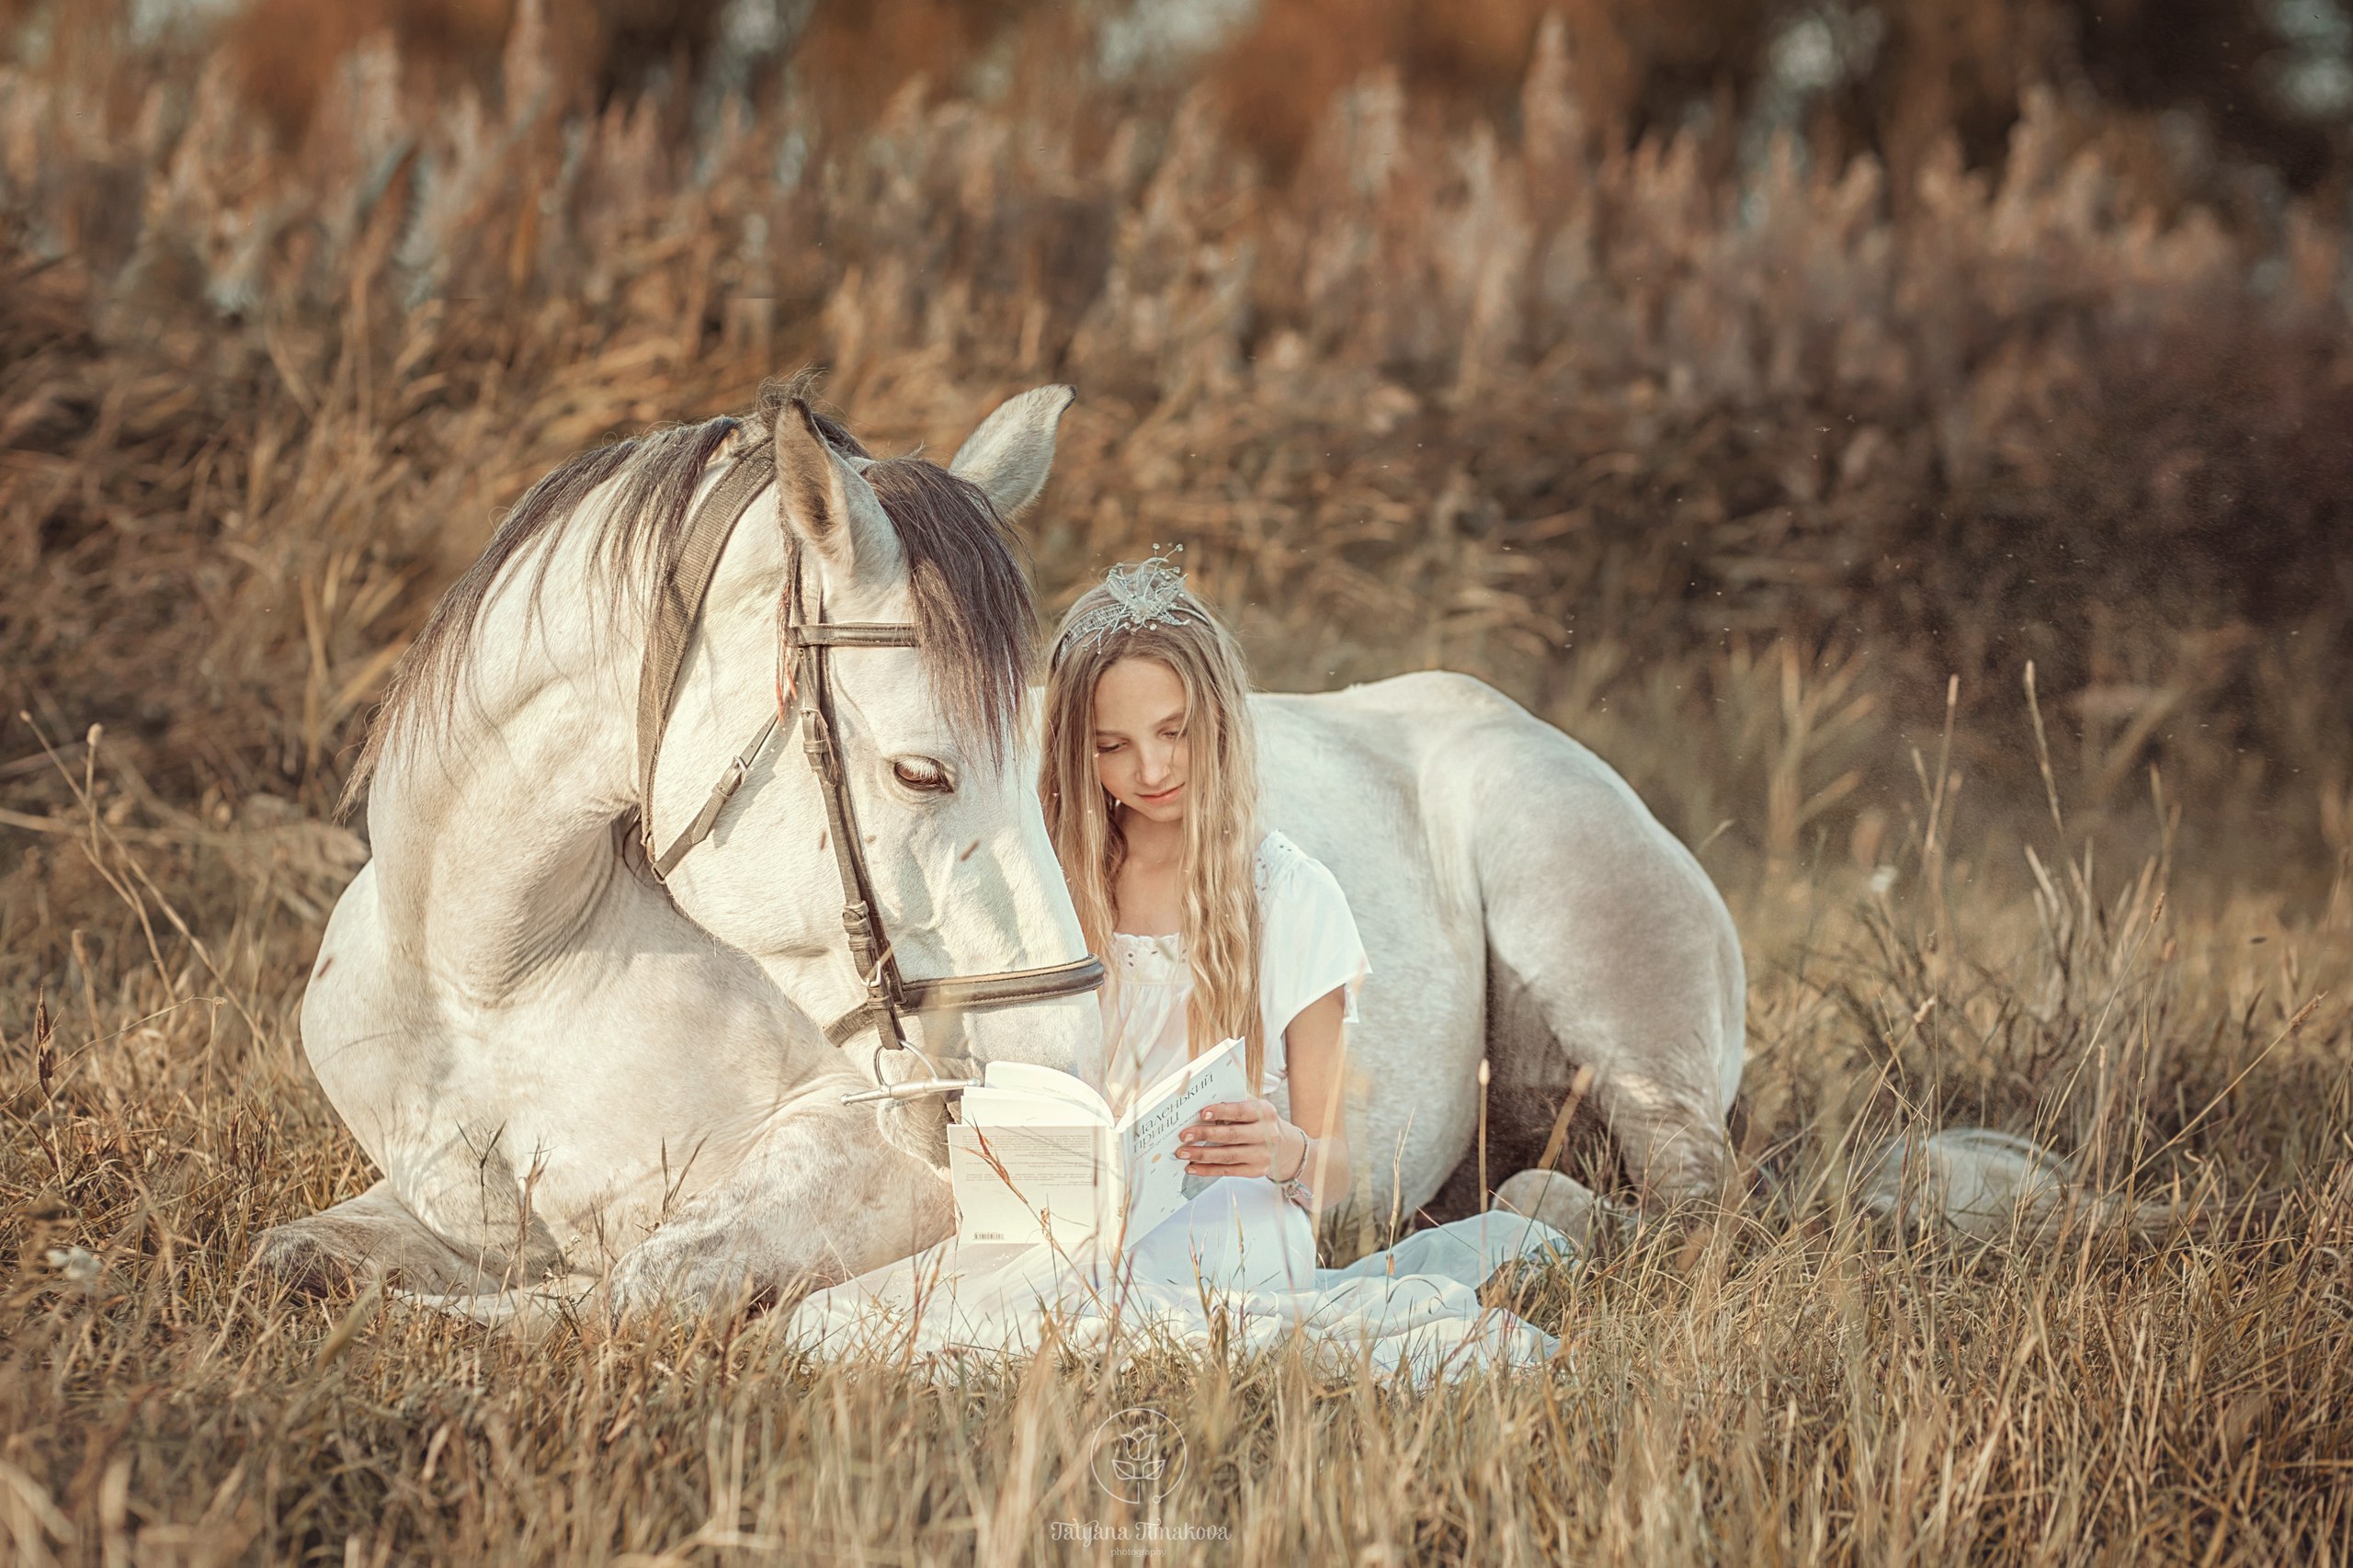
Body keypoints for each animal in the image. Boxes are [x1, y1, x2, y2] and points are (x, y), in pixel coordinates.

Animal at [270, 379, 1750, 1309]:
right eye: (921, 766)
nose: (1063, 1067)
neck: (494, 977)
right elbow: (303, 1258)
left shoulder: (880, 1177)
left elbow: (629, 1291)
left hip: (1617, 1012)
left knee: (1678, 1201)